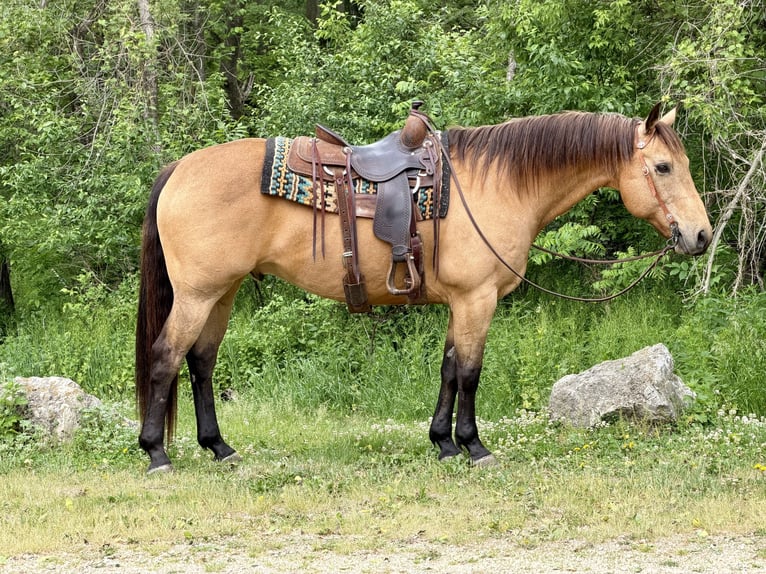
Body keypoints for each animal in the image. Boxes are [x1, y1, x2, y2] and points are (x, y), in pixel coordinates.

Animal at [135, 103, 712, 473]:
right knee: (167, 357)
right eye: (663, 167)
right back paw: (157, 454)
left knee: (201, 362)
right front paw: (474, 447)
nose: (701, 235)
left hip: (222, 293)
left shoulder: (461, 302)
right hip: (198, 295)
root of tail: (179, 168)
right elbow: (471, 373)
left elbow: (450, 369)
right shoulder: (477, 299)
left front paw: (443, 444)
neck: (497, 185)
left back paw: (219, 448)